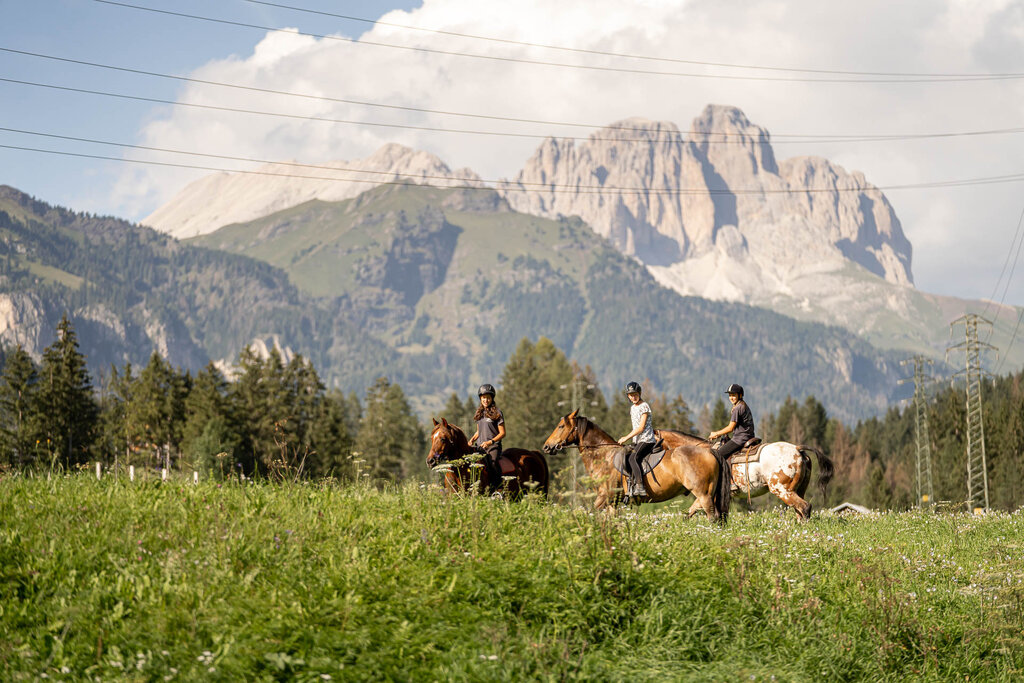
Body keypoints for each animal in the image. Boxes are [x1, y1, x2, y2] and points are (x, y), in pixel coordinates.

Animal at [542, 409, 731, 522]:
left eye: (560, 426)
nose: (546, 447)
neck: (604, 457)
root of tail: (711, 451)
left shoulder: (604, 497)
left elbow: (589, 512)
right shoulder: (613, 503)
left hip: (704, 494)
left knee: (712, 517)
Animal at [658, 430, 834, 520]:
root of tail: (798, 449)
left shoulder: (707, 493)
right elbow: (693, 511)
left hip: (782, 490)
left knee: (804, 507)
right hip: (798, 490)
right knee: (800, 510)